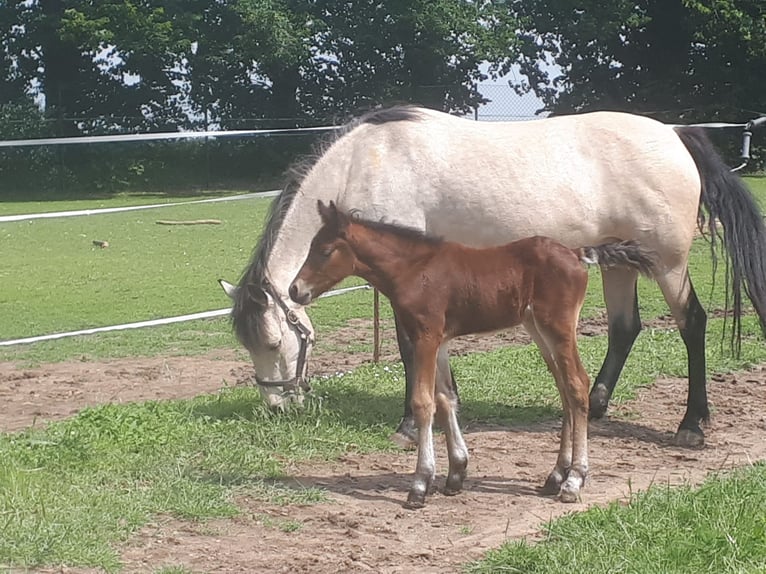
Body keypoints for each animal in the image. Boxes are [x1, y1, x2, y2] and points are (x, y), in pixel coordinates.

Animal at [225, 108, 766, 450]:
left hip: (666, 263)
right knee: (624, 328)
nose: (275, 406)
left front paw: (408, 424)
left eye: (272, 343)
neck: (368, 163)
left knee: (692, 323)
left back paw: (691, 426)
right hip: (619, 263)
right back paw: (594, 407)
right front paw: (449, 405)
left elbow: (408, 347)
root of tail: (675, 134)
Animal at [290, 200, 660, 506]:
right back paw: (555, 476)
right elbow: (446, 399)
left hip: (559, 328)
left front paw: (420, 485)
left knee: (578, 385)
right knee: (566, 391)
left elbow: (423, 403)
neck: (413, 268)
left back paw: (574, 481)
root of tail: (575, 252)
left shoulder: (425, 337)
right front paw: (456, 474)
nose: (295, 290)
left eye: (325, 250)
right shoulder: (439, 340)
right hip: (540, 331)